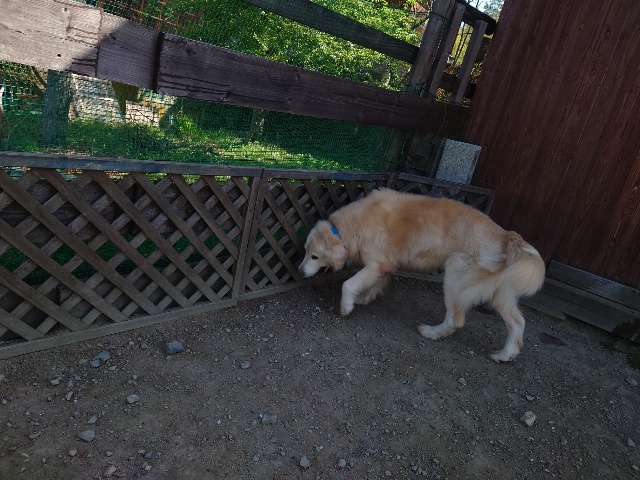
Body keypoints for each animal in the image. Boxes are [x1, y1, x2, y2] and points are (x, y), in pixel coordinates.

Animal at [298, 188, 545, 362]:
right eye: (305, 252)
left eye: (315, 256)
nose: (300, 271)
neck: (347, 227)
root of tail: (506, 235)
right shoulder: (385, 265)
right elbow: (373, 284)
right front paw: (365, 298)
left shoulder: (378, 263)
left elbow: (348, 284)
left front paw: (347, 306)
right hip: (498, 292)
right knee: (517, 322)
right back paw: (505, 355)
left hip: (455, 272)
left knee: (455, 320)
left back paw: (430, 332)